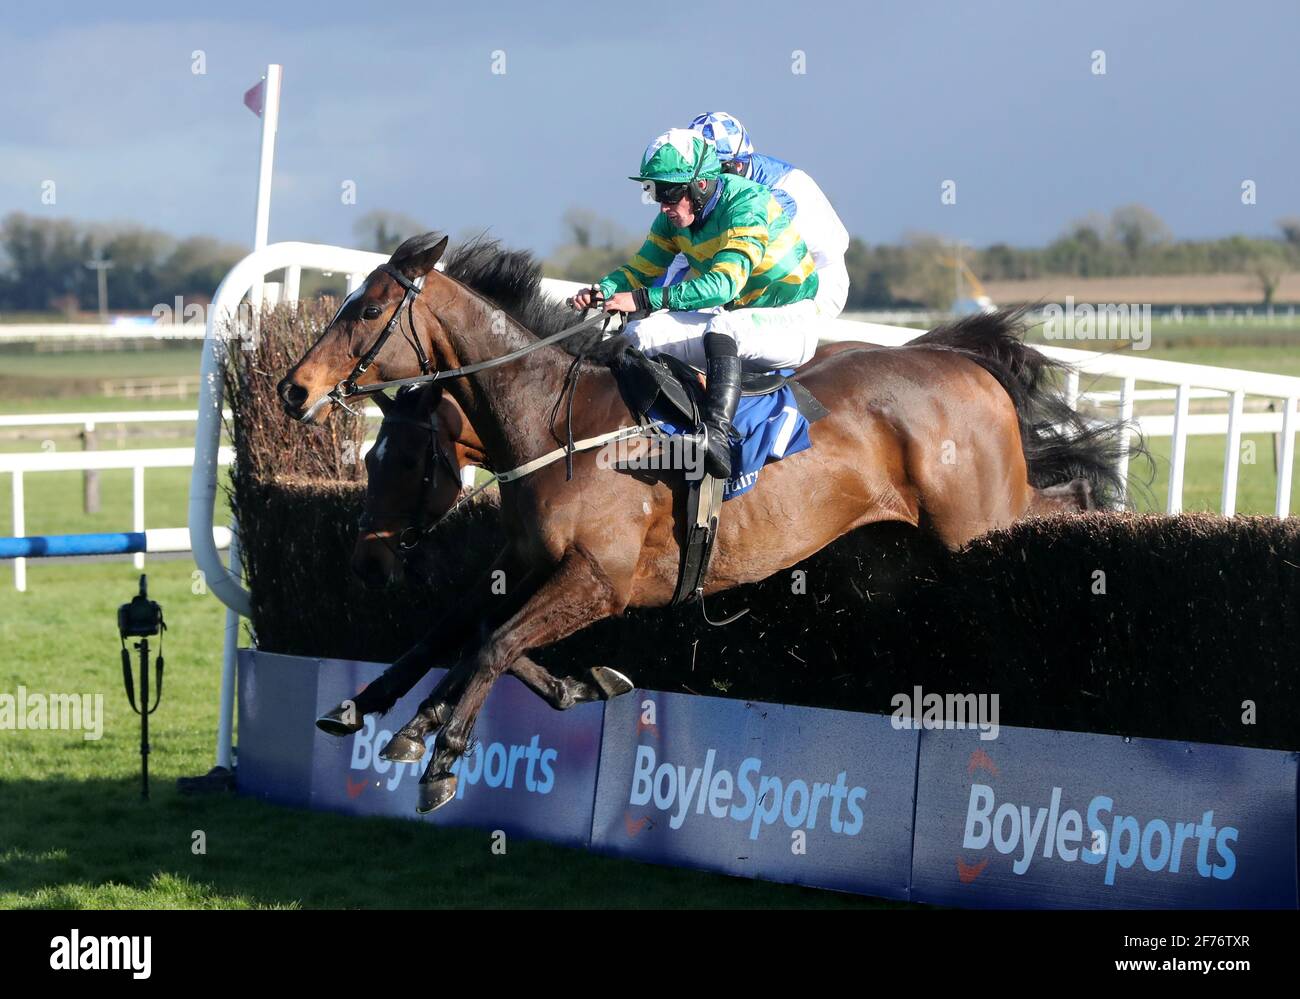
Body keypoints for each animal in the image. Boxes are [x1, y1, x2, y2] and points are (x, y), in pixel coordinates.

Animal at [282, 231, 1128, 811]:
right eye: (371, 459)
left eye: (366, 309)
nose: (294, 390)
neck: (555, 421)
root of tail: (963, 362)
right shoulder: (532, 562)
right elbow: (460, 631)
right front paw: (382, 710)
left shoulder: (603, 580)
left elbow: (491, 642)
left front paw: (442, 754)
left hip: (981, 518)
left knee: (1064, 506)